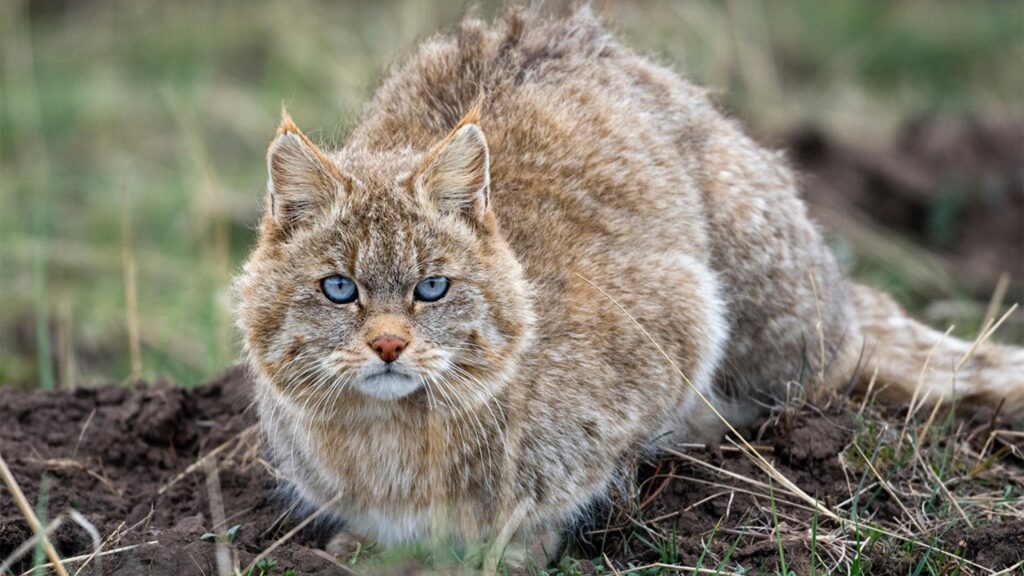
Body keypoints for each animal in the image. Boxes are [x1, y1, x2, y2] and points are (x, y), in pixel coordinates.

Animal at [234, 7, 1024, 565]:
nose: (390, 346)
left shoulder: (684, 311)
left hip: (773, 313)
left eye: (433, 288)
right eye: (339, 289)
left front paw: (515, 546)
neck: (392, 432)